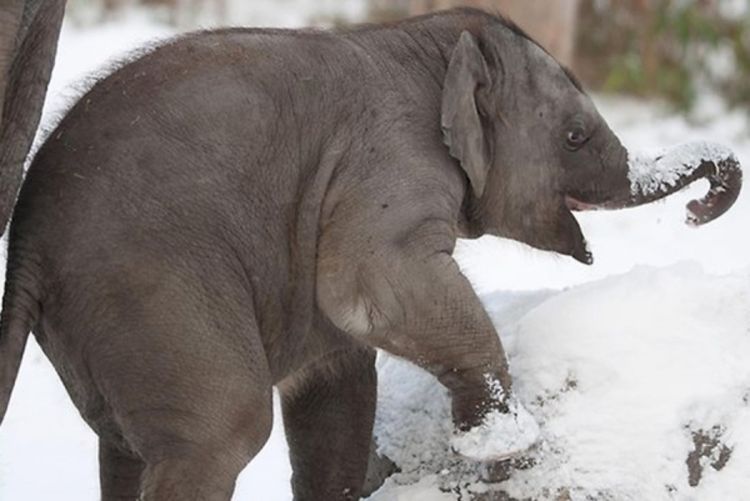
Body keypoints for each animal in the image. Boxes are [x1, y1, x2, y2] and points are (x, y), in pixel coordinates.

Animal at [0, 4, 740, 500]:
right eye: (576, 136)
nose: (697, 210)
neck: (428, 39)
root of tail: (26, 243)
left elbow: (340, 390)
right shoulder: (386, 166)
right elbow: (370, 283)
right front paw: (505, 445)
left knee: (126, 447)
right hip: (149, 287)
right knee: (223, 432)